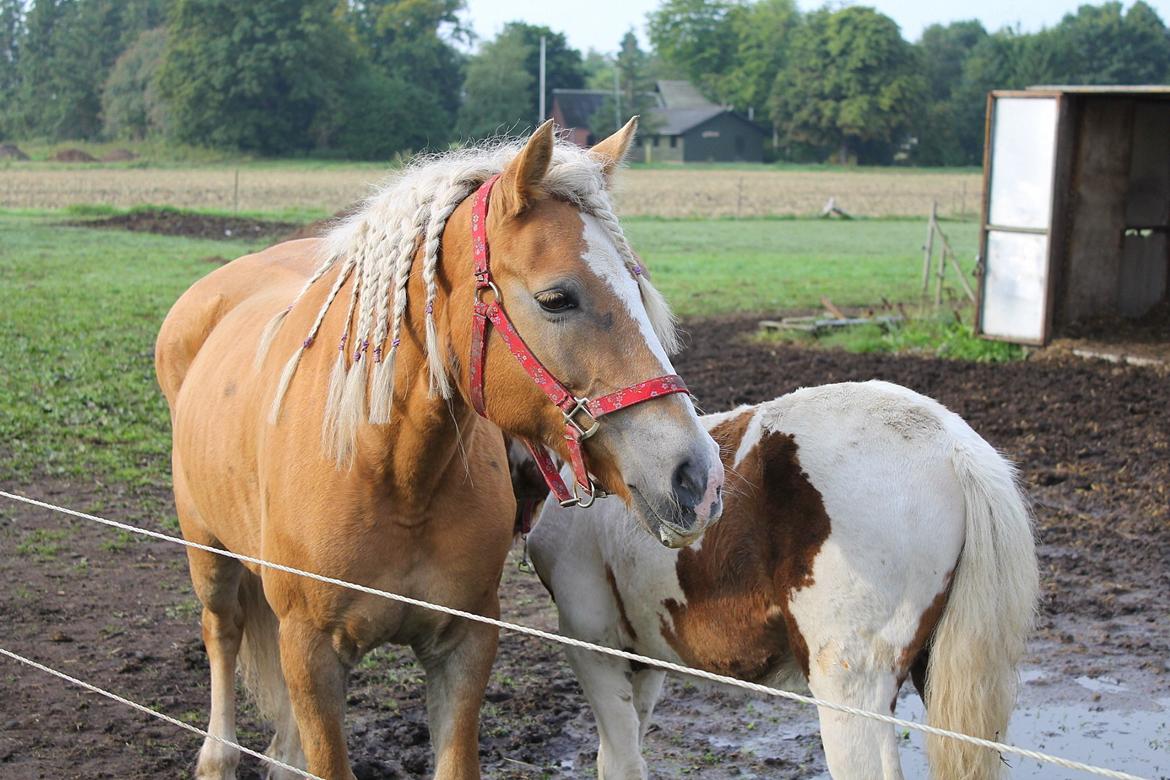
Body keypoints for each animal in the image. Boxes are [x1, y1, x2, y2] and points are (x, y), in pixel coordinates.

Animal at [155, 122, 720, 780]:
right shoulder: (310, 651)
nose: (697, 478)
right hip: (207, 551)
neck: (392, 474)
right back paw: (218, 755)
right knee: (221, 632)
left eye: (639, 288)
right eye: (557, 299)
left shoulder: (464, 644)